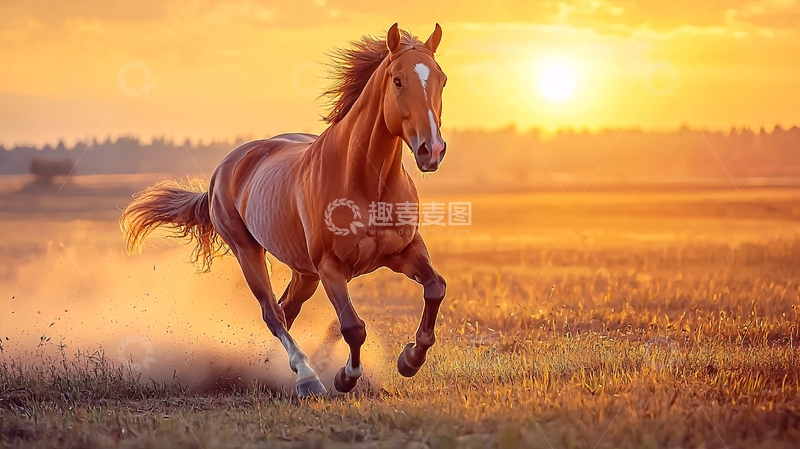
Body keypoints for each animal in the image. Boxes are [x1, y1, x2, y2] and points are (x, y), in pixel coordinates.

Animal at [120, 23, 448, 397]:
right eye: (397, 80)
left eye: (442, 79)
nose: (432, 150)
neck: (367, 184)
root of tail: (227, 167)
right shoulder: (330, 267)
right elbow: (353, 326)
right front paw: (344, 377)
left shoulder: (404, 251)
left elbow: (435, 288)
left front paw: (410, 360)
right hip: (249, 252)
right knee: (273, 314)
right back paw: (306, 377)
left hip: (304, 273)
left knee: (286, 309)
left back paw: (272, 364)